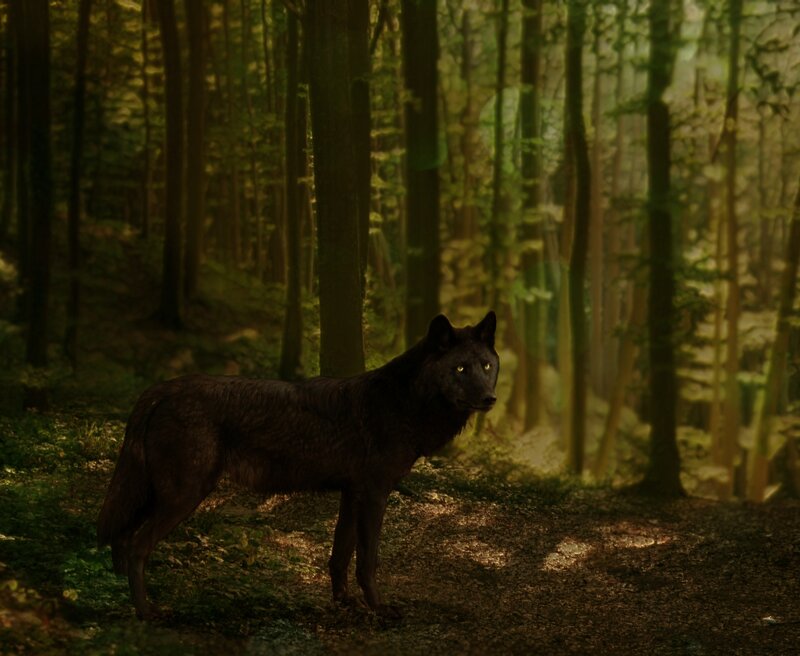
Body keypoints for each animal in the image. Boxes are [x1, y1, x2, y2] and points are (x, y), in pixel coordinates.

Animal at [97, 311, 499, 619]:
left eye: (487, 365)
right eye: (460, 368)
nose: (490, 398)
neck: (403, 402)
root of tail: (161, 389)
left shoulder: (352, 494)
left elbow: (339, 556)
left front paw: (345, 604)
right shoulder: (375, 494)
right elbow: (367, 561)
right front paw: (378, 609)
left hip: (156, 493)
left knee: (121, 538)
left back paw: (118, 596)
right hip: (183, 495)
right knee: (137, 544)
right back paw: (146, 612)